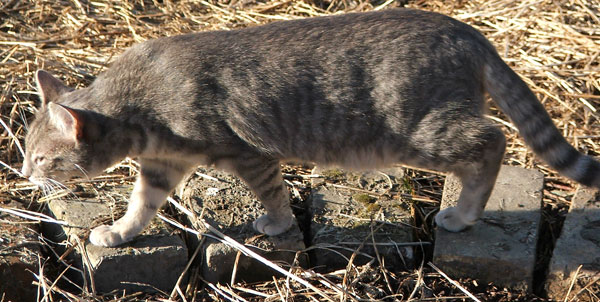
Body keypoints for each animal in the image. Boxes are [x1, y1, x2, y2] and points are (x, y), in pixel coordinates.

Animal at [21, 8, 600, 247]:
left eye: (43, 157)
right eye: (24, 152)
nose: (25, 176)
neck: (140, 103)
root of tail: (465, 30)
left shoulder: (249, 154)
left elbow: (273, 194)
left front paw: (277, 225)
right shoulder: (161, 166)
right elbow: (140, 206)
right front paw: (119, 232)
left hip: (421, 132)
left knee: (493, 141)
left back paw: (463, 214)